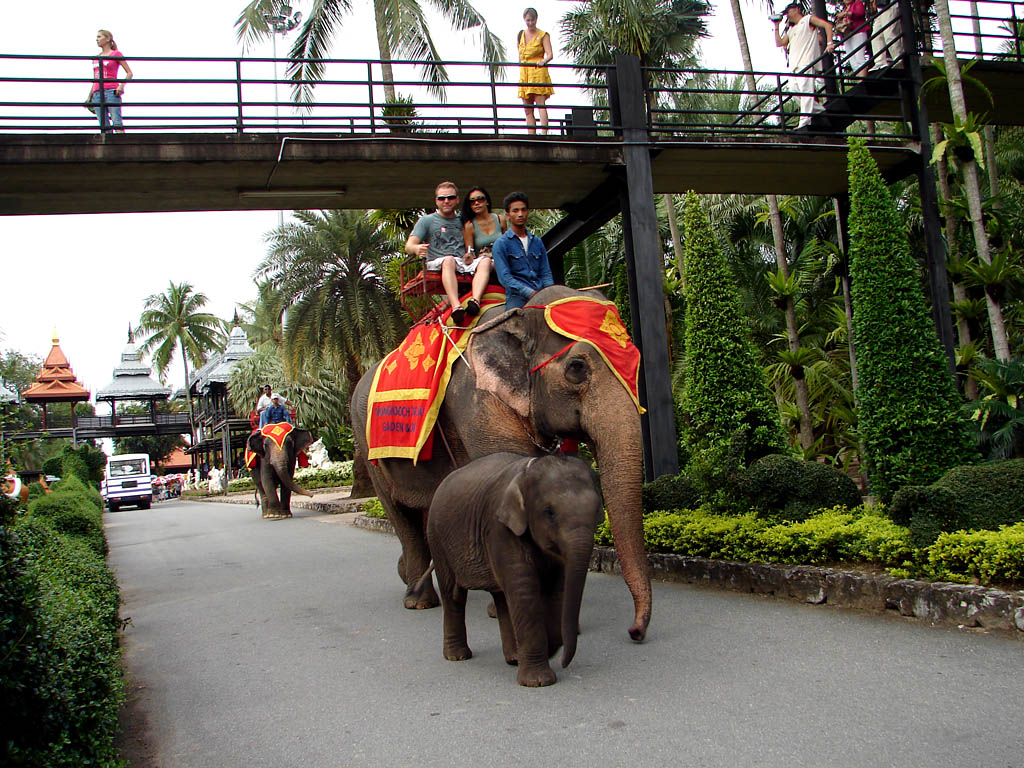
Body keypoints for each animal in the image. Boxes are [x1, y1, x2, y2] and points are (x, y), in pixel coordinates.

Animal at [350, 286, 647, 638]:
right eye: (577, 368)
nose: (634, 632)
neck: (517, 315)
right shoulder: (479, 404)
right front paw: (507, 606)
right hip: (366, 443)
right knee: (400, 515)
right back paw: (418, 600)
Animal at [421, 454, 598, 688]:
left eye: (597, 512)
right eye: (549, 513)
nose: (563, 662)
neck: (526, 472)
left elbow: (556, 590)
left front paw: (549, 648)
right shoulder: (499, 529)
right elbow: (524, 591)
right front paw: (538, 682)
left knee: (502, 597)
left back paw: (514, 658)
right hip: (437, 538)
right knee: (453, 595)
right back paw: (457, 656)